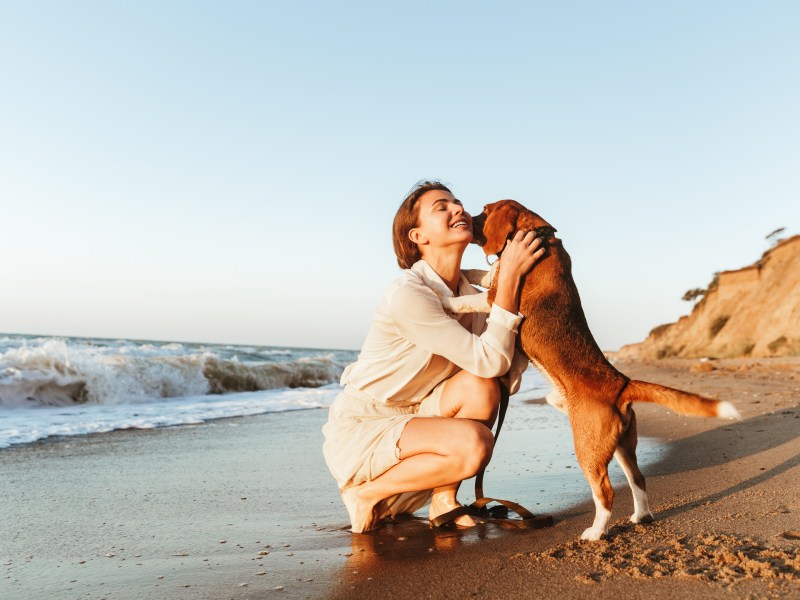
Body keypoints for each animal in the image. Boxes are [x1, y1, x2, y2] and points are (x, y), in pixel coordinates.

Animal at [440, 199, 740, 540]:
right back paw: (641, 515)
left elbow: (469, 298)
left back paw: (596, 532)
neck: (539, 234)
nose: (465, 220)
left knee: (605, 492)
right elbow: (481, 273)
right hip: (622, 445)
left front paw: (447, 301)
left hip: (588, 449)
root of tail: (621, 383)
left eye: (484, 210)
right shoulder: (495, 283)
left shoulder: (495, 299)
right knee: (638, 479)